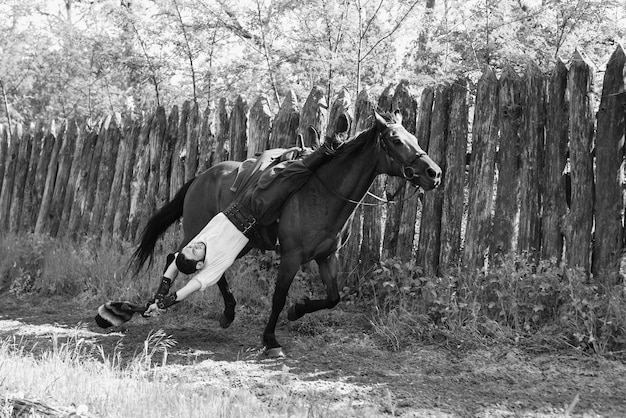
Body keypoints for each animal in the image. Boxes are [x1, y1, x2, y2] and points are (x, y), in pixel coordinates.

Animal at [130, 110, 442, 356]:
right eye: (397, 140)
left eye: (414, 137)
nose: (434, 173)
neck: (323, 191)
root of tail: (201, 177)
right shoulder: (292, 256)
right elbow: (279, 297)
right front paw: (271, 340)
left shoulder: (327, 257)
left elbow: (333, 297)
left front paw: (297, 310)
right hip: (198, 231)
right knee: (176, 257)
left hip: (243, 243)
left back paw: (226, 312)